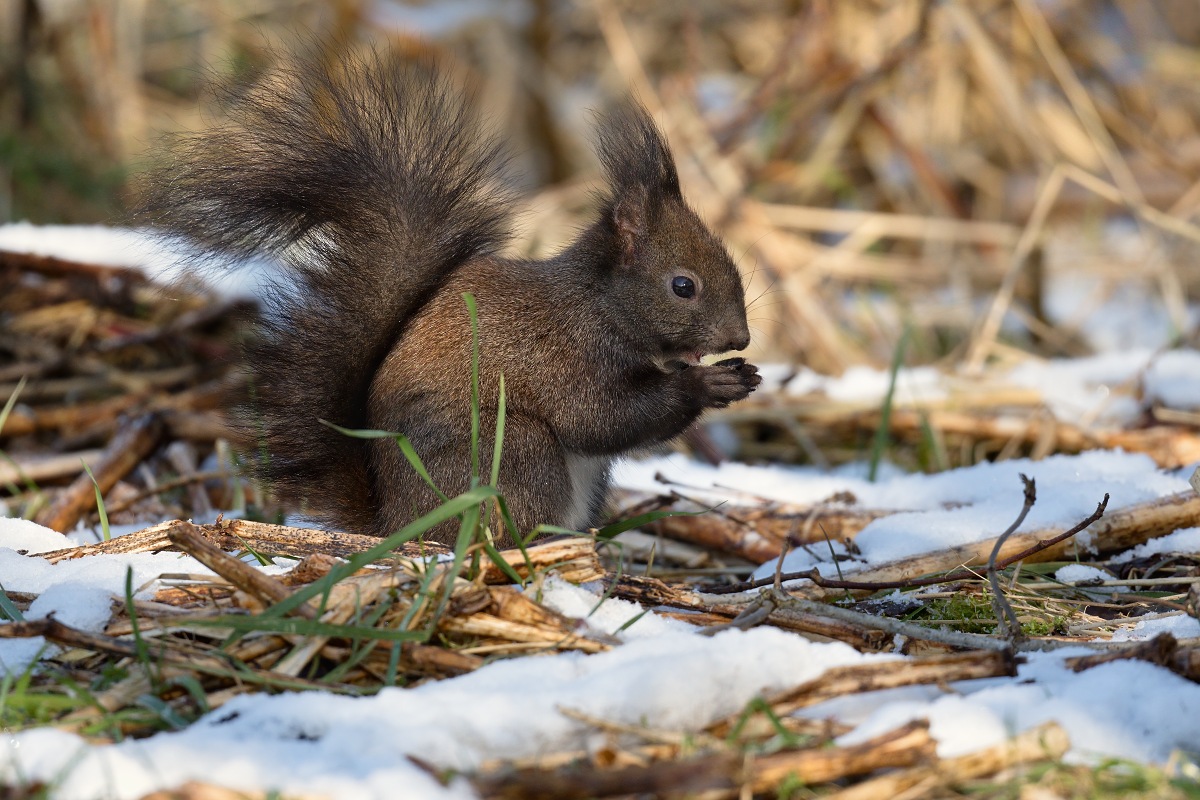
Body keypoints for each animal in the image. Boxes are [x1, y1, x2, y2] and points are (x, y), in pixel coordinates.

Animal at [142, 50, 758, 544]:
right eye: (683, 285)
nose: (741, 338)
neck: (600, 305)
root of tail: (395, 526)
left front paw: (741, 375)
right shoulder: (566, 355)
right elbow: (601, 418)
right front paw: (708, 384)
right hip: (513, 455)